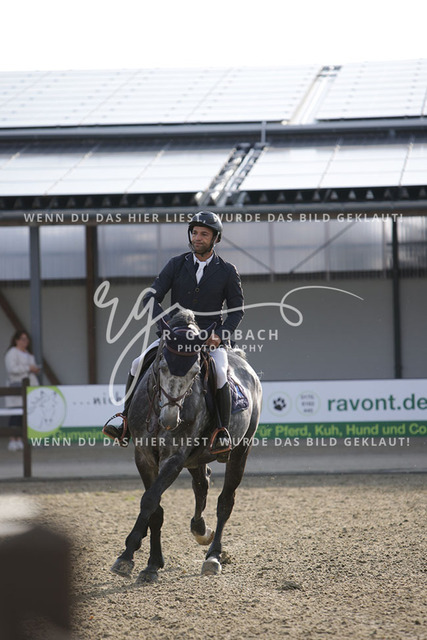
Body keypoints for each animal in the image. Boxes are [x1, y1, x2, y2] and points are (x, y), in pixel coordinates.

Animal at [110, 309, 263, 583]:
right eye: (161, 367)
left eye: (195, 371)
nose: (171, 420)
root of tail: (241, 361)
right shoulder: (144, 457)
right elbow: (155, 508)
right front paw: (152, 564)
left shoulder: (174, 458)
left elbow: (150, 500)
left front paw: (127, 555)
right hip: (196, 458)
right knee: (202, 484)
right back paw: (200, 530)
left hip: (240, 451)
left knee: (225, 501)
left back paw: (213, 556)